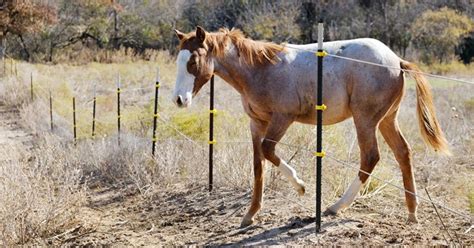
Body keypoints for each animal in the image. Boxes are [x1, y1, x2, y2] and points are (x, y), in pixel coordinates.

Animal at [170, 26, 448, 227]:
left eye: (193, 62)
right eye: (178, 61)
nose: (179, 100)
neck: (261, 69)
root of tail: (397, 60)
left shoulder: (282, 118)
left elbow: (268, 151)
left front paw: (301, 186)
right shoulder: (256, 123)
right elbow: (259, 165)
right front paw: (250, 215)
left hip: (365, 119)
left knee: (370, 157)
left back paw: (336, 207)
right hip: (387, 119)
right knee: (403, 152)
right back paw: (412, 213)